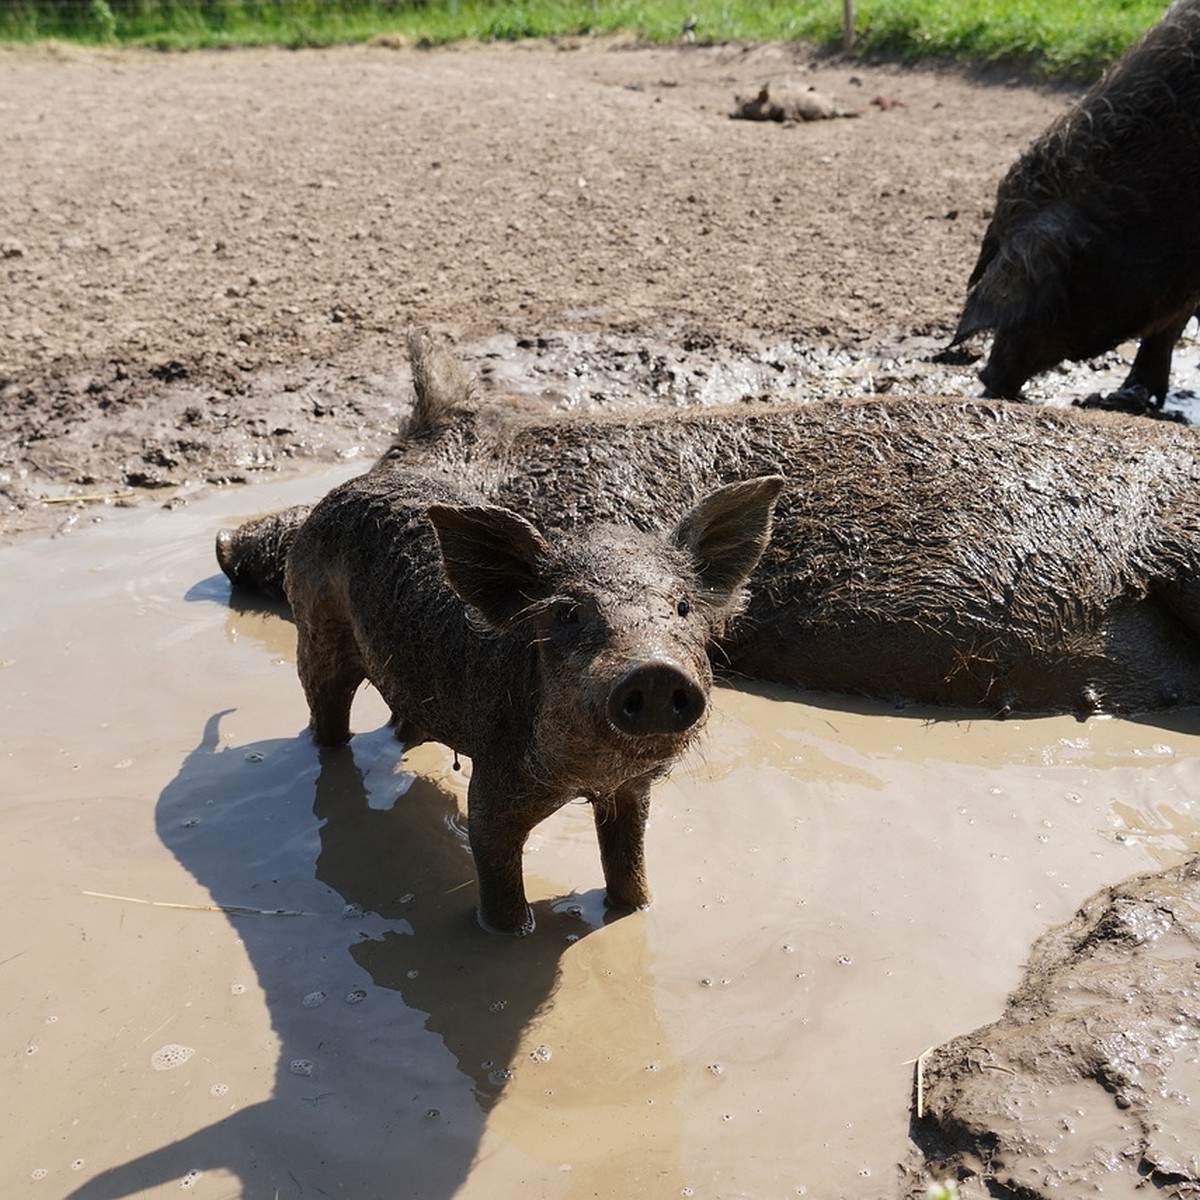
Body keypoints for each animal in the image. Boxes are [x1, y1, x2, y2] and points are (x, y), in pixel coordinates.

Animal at [225, 458, 787, 936]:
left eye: (683, 606)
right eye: (566, 612)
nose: (652, 671)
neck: (586, 775)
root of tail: (344, 488)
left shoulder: (631, 791)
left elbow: (629, 865)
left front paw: (635, 911)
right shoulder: (494, 784)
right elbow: (495, 868)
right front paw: (509, 939)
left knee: (401, 720)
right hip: (314, 631)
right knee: (325, 716)